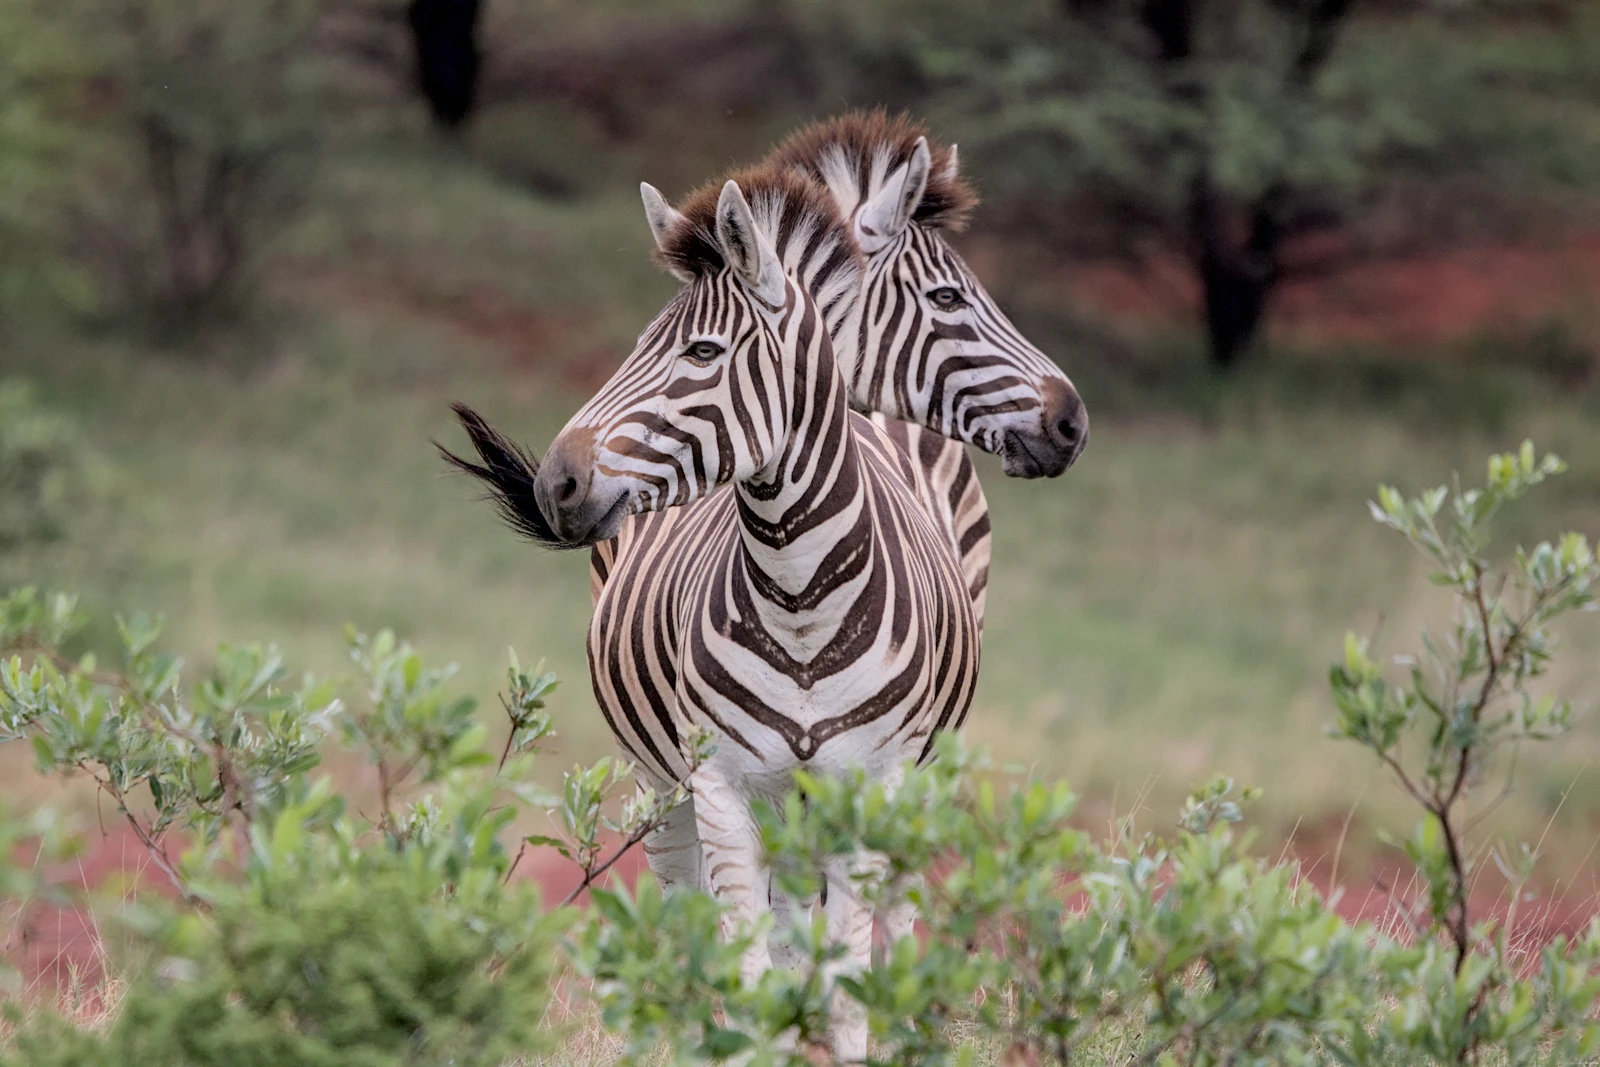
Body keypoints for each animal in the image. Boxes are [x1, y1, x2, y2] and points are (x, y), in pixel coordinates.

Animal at [447, 168, 983, 1059]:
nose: (556, 483)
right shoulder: (722, 784)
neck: (801, 600)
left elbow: (844, 985)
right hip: (662, 782)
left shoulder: (872, 785)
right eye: (636, 345)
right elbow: (747, 971)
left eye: (702, 352)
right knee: (690, 916)